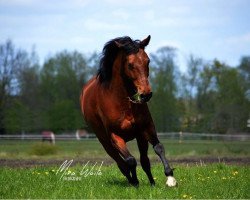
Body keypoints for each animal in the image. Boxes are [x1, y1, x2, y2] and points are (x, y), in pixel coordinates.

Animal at [80, 35, 176, 186]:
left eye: (148, 61)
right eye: (130, 64)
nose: (146, 94)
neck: (123, 103)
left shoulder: (145, 129)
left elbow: (158, 148)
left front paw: (169, 178)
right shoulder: (115, 137)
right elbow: (130, 161)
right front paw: (135, 183)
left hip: (138, 137)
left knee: (143, 161)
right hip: (105, 142)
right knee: (121, 163)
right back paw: (132, 181)